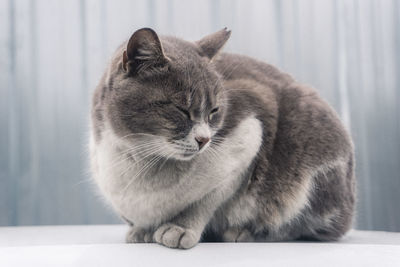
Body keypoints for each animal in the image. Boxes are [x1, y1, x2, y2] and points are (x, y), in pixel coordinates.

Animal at [89, 26, 354, 249]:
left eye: (214, 110)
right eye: (181, 110)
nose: (204, 140)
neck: (140, 159)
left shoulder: (249, 137)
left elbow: (205, 202)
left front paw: (180, 228)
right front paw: (143, 230)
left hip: (312, 175)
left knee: (299, 225)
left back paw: (243, 232)